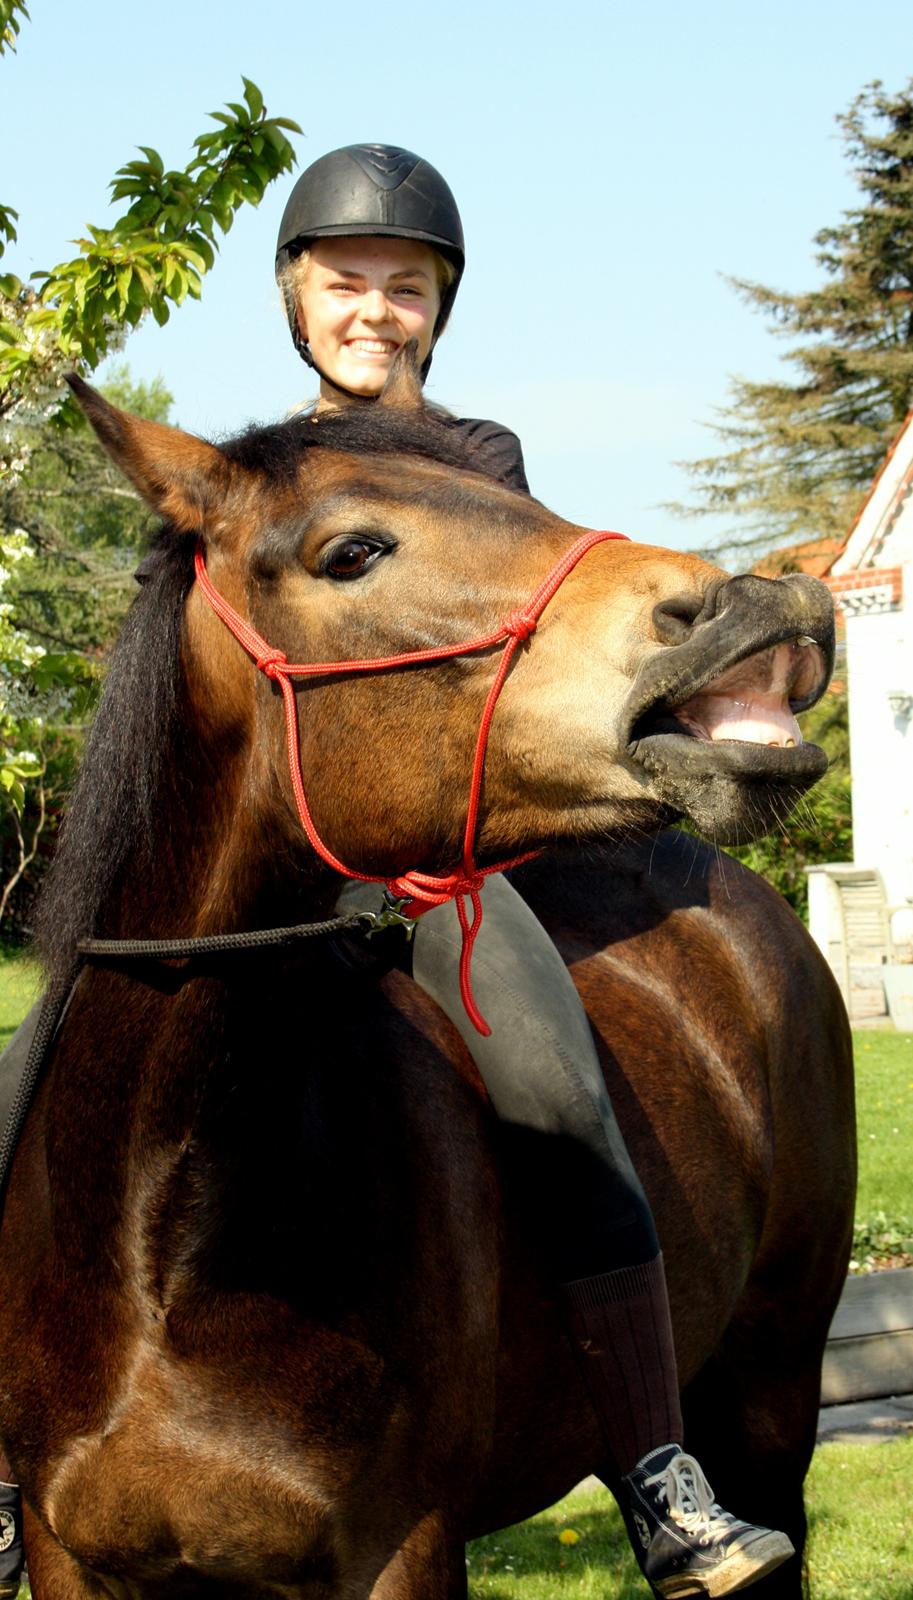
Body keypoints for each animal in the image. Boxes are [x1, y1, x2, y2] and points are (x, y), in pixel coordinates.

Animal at [1, 363, 857, 1600]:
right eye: (352, 550)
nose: (762, 607)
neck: (159, 1249)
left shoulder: (397, 1549)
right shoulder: (73, 1556)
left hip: (771, 1393)